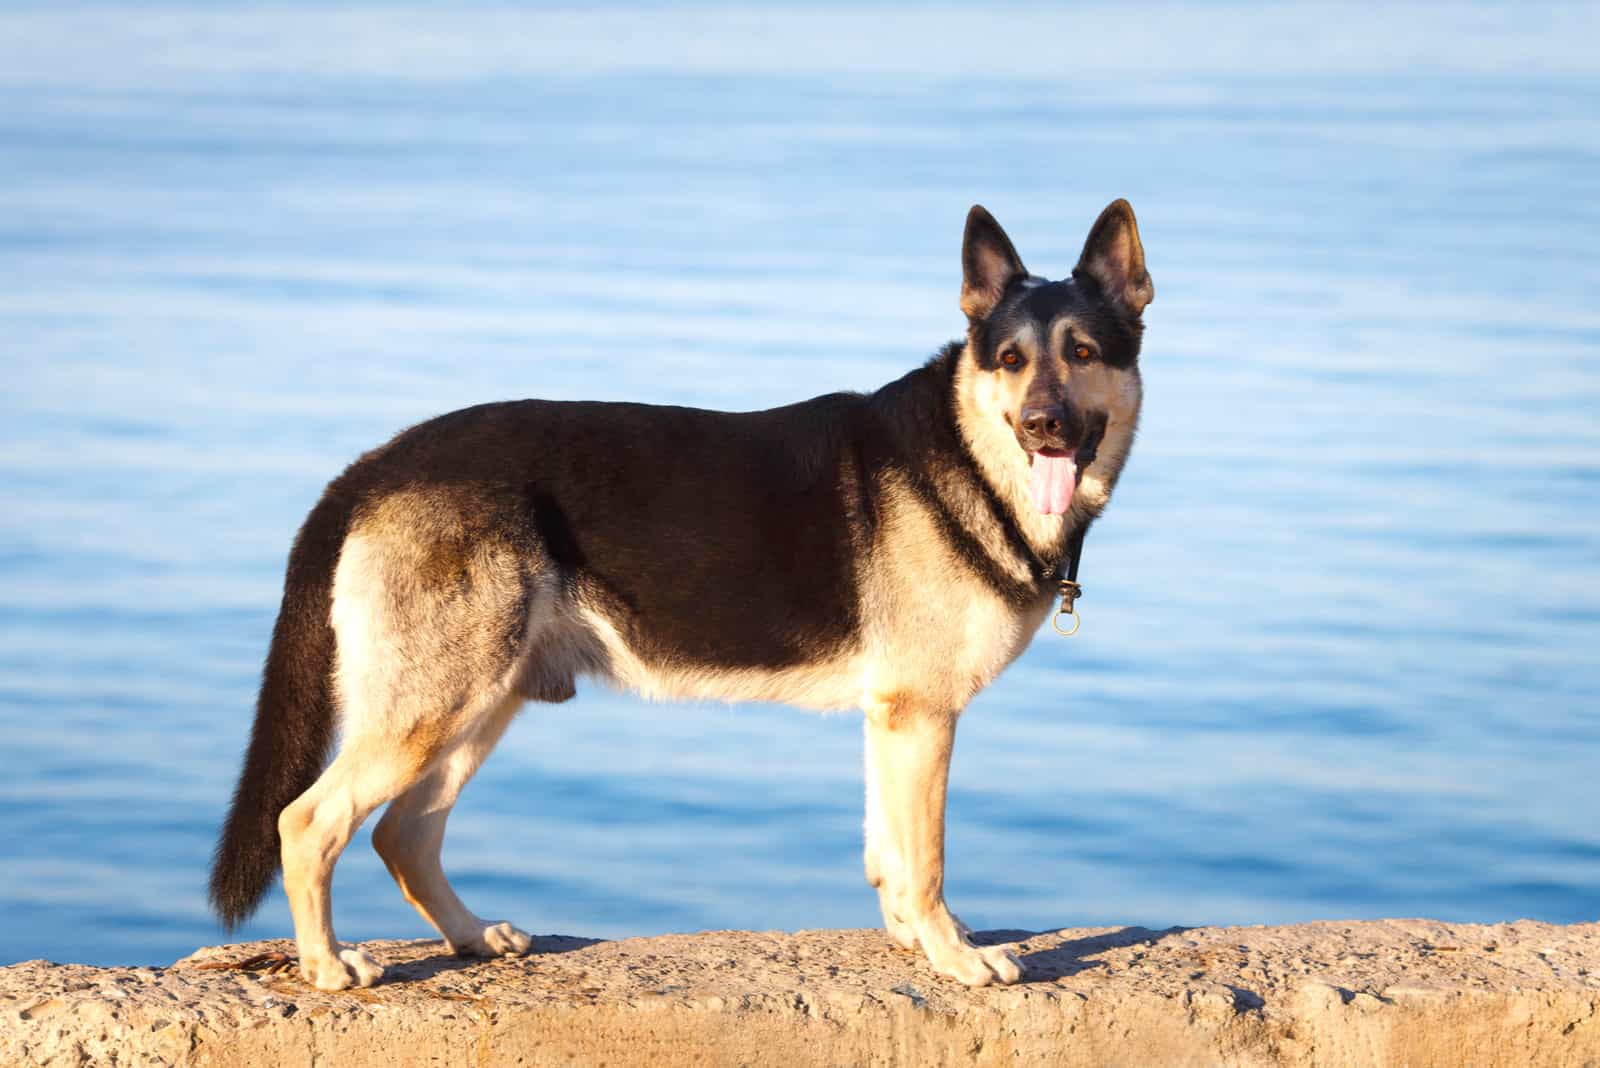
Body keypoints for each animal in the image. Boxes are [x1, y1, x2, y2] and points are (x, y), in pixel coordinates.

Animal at [209, 195, 1152, 991]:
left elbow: (888, 851)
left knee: (402, 832)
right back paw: (326, 966)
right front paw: (954, 956)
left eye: (1083, 354)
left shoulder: (896, 721)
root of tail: (375, 466)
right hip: (436, 707)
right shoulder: (921, 716)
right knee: (309, 822)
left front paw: (911, 944)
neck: (968, 450)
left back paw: (472, 937)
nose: (1045, 427)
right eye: (1010, 361)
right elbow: (925, 861)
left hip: (480, 703)